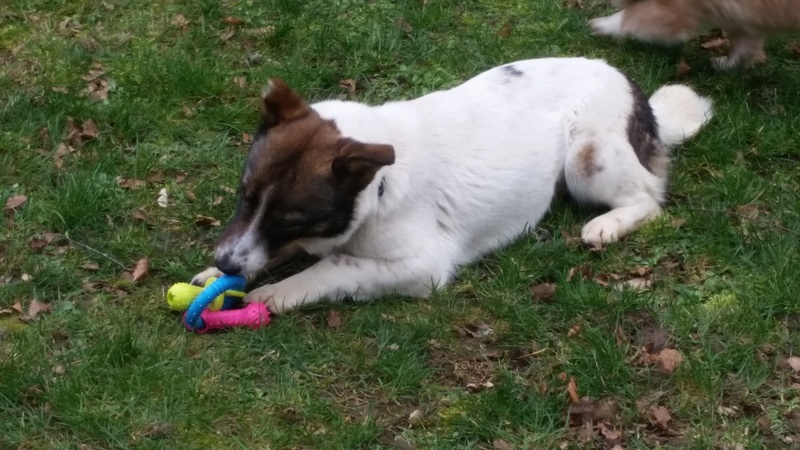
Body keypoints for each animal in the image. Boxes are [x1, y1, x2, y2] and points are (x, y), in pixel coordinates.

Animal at [192, 57, 712, 312]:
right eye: (244, 196)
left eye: (291, 219)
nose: (226, 262)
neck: (377, 188)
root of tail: (637, 95)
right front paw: (219, 274)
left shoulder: (424, 266)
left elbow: (335, 264)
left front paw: (277, 292)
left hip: (587, 159)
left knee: (649, 196)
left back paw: (608, 224)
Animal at [588, 0, 800, 69]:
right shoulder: (745, 24)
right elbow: (744, 49)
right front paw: (724, 64)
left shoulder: (672, 14)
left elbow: (631, 17)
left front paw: (603, 24)